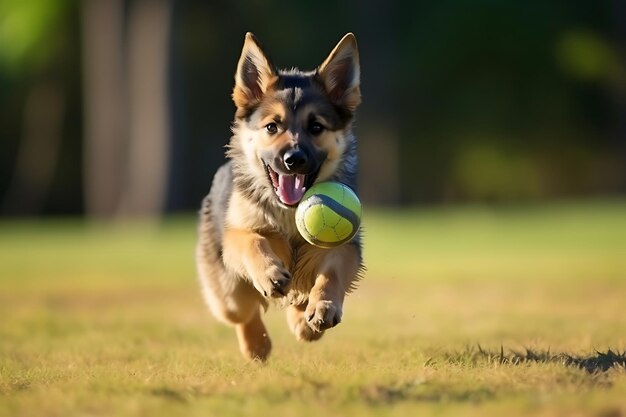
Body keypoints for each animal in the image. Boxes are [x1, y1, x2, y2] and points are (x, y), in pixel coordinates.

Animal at [194, 32, 360, 360]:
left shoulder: (343, 247)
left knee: (298, 298)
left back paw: (304, 321)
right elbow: (253, 240)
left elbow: (330, 274)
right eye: (272, 126)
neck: (289, 211)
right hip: (227, 290)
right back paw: (257, 344)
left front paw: (323, 306)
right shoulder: (237, 234)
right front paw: (270, 273)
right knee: (243, 312)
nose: (293, 159)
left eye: (316, 127)